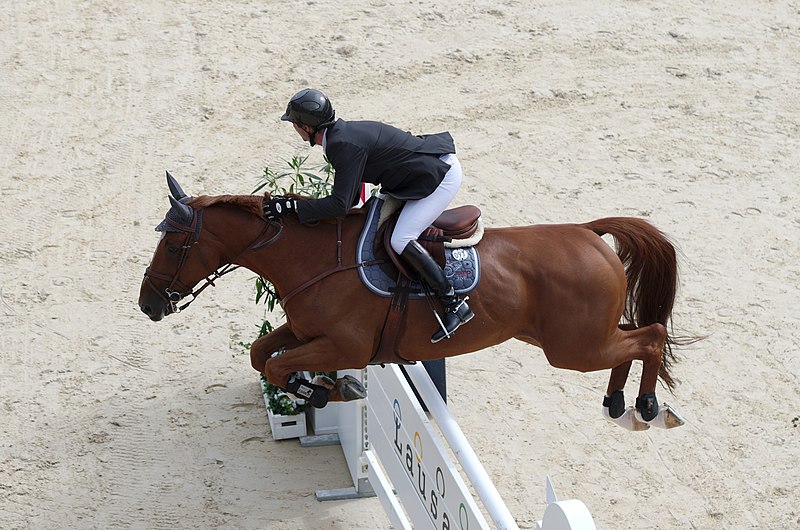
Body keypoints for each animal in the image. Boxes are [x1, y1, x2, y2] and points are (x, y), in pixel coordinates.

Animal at [141, 173, 692, 428]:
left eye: (172, 245)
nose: (148, 304)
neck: (313, 258)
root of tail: (588, 232)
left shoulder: (344, 346)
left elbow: (278, 366)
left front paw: (326, 391)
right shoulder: (306, 331)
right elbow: (262, 356)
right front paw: (323, 389)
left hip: (572, 349)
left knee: (649, 337)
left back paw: (643, 403)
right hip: (574, 339)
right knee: (635, 338)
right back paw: (617, 400)